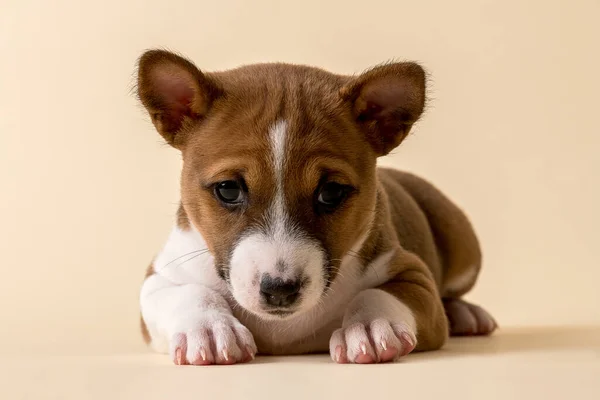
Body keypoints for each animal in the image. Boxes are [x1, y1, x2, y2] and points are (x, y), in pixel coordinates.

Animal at [136, 50, 496, 366]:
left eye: (331, 192)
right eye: (228, 189)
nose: (279, 290)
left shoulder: (414, 277)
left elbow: (378, 294)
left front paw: (370, 326)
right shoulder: (159, 278)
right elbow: (189, 292)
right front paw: (210, 328)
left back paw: (466, 313)